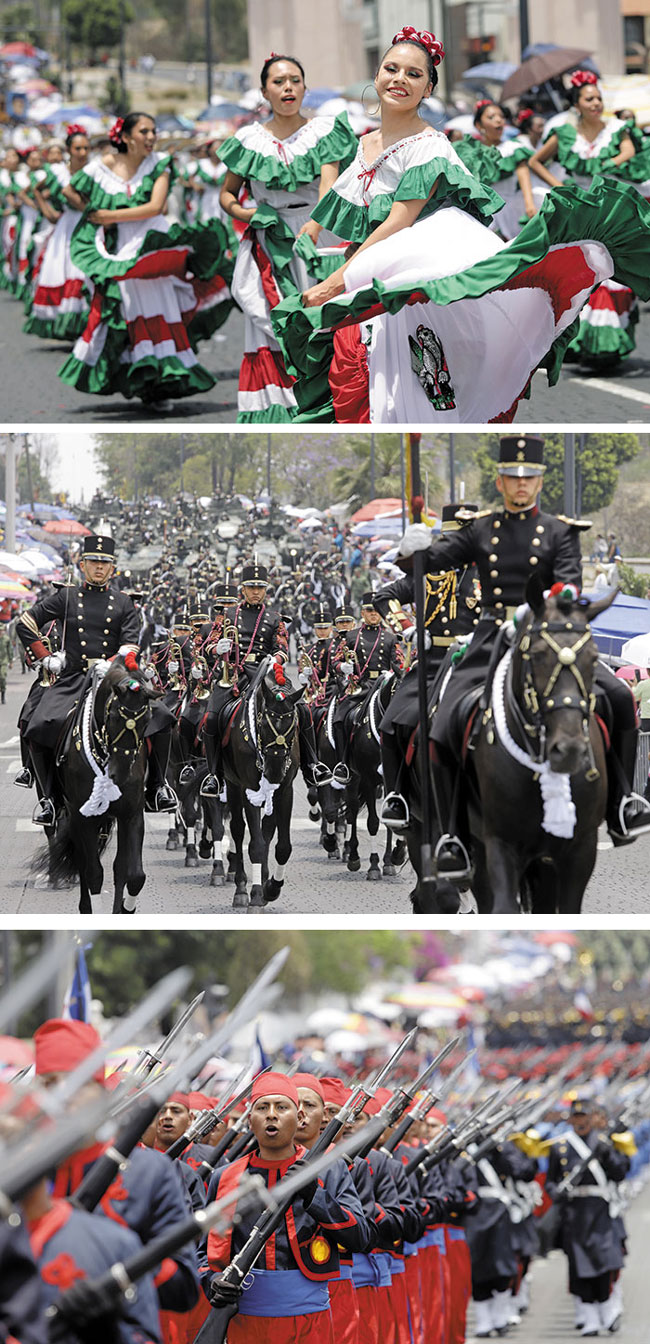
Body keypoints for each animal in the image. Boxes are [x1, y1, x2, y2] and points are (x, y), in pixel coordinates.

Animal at [36, 658, 159, 913]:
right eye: (112, 717)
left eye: (146, 721)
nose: (120, 775)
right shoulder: (83, 818)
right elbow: (93, 873)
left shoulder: (131, 814)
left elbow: (133, 874)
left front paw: (125, 908)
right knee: (82, 863)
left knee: (117, 867)